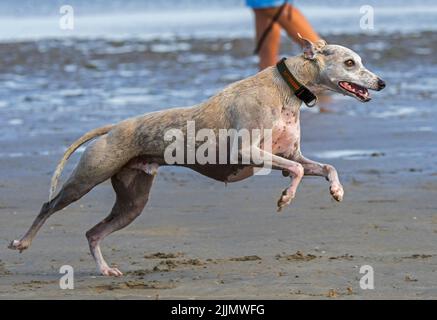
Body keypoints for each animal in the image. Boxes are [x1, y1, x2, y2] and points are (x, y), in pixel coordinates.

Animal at [8, 37, 384, 276]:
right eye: (350, 62)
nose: (381, 82)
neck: (286, 88)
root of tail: (115, 127)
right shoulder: (251, 152)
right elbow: (296, 172)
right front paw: (286, 198)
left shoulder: (291, 154)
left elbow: (324, 166)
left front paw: (336, 190)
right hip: (86, 179)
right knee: (48, 207)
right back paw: (22, 242)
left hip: (132, 202)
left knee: (93, 233)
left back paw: (105, 270)